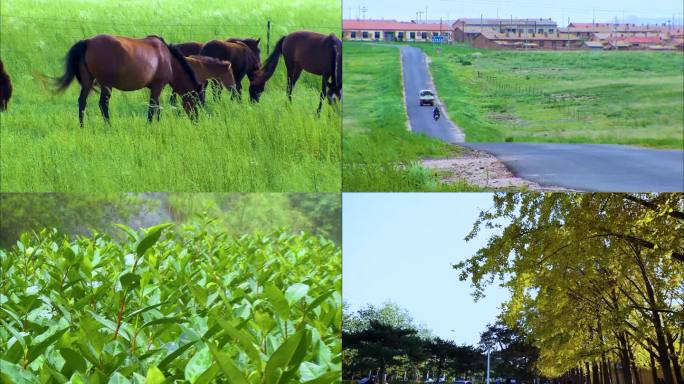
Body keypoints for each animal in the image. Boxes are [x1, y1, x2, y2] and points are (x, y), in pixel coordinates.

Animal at [55, 33, 200, 125]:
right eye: (196, 101)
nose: (197, 121)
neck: (168, 58)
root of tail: (87, 42)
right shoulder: (158, 86)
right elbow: (153, 107)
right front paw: (150, 125)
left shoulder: (155, 88)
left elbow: (157, 107)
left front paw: (157, 124)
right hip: (106, 85)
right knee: (103, 104)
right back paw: (109, 126)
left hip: (87, 81)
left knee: (82, 102)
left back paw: (82, 126)